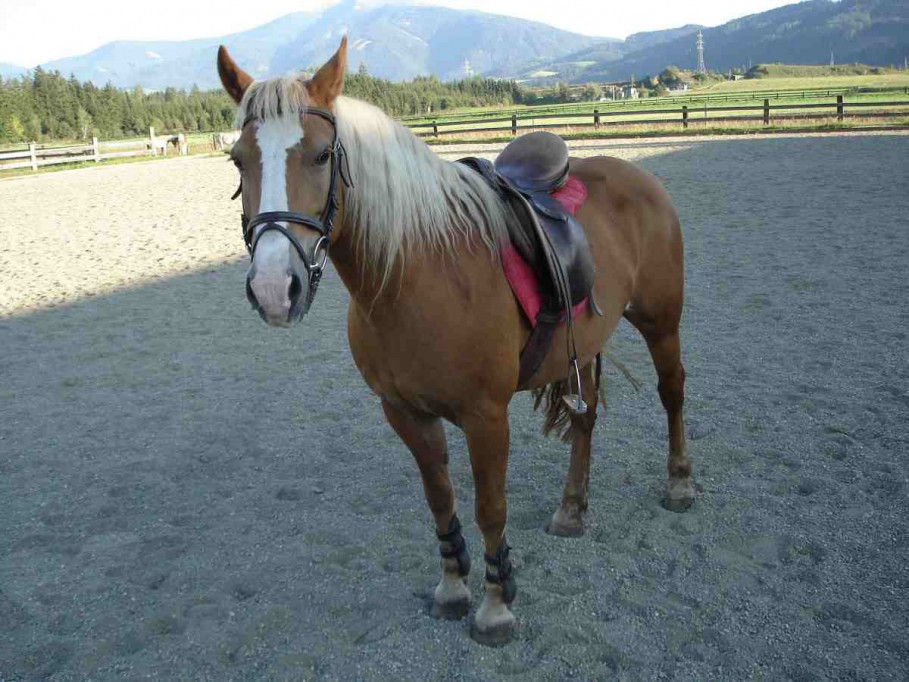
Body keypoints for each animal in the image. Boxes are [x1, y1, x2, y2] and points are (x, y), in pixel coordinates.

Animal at [216, 37, 692, 644]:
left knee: (672, 391)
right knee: (584, 420)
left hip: (661, 321)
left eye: (322, 156)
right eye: (238, 160)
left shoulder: (486, 416)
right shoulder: (405, 412)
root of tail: (635, 177)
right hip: (583, 346)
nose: (275, 288)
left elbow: (491, 506)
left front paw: (495, 604)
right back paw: (571, 509)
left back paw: (679, 484)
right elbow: (440, 499)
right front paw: (452, 586)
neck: (415, 272)